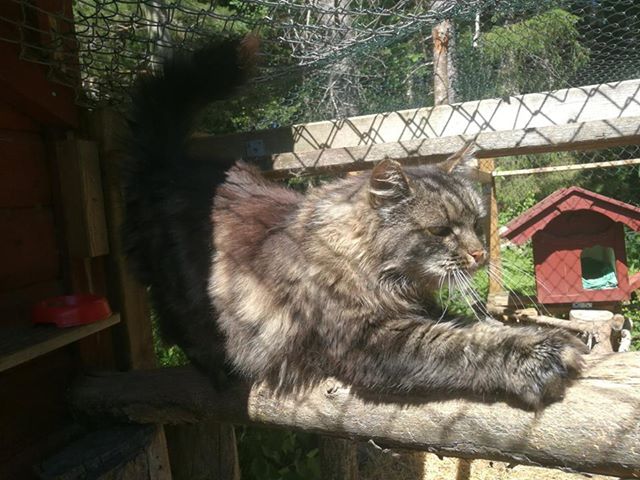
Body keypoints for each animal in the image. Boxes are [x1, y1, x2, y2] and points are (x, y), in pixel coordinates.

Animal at [123, 35, 586, 409]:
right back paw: (217, 367)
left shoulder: (418, 311)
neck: (372, 269)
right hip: (177, 290)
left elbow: (473, 325)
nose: (478, 254)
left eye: (475, 223)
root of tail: (171, 163)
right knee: (177, 326)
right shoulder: (370, 340)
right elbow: (463, 344)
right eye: (440, 231)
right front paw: (540, 353)